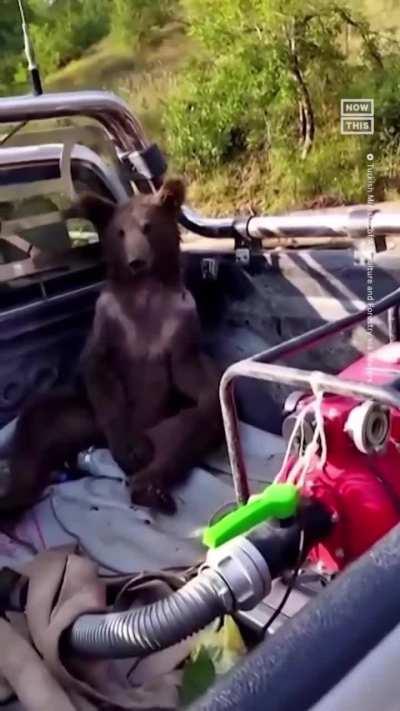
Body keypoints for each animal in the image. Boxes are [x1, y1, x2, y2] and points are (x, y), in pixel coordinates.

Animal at [0, 179, 223, 515]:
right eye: (119, 232)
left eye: (148, 227)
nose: (136, 261)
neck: (144, 293)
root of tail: (97, 442)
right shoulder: (110, 319)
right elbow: (99, 368)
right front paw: (130, 449)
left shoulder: (179, 318)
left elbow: (191, 371)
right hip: (82, 416)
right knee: (37, 425)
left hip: (168, 418)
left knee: (189, 429)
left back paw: (150, 486)